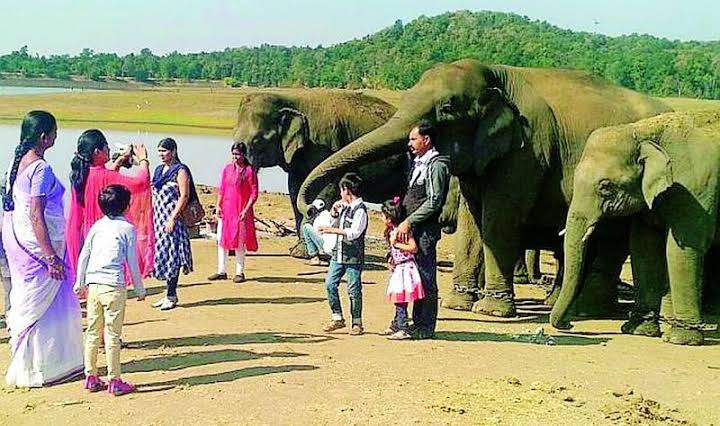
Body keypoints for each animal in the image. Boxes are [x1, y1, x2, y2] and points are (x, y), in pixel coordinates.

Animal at [296, 60, 668, 320]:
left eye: (446, 109)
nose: (315, 206)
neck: (497, 75)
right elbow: (472, 220)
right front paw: (459, 304)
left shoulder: (526, 152)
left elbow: (497, 219)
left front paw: (491, 311)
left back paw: (586, 311)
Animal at [552, 111, 720, 344]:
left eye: (605, 186)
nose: (570, 324)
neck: (642, 131)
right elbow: (644, 247)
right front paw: (638, 330)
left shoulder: (696, 186)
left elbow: (684, 248)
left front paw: (681, 339)